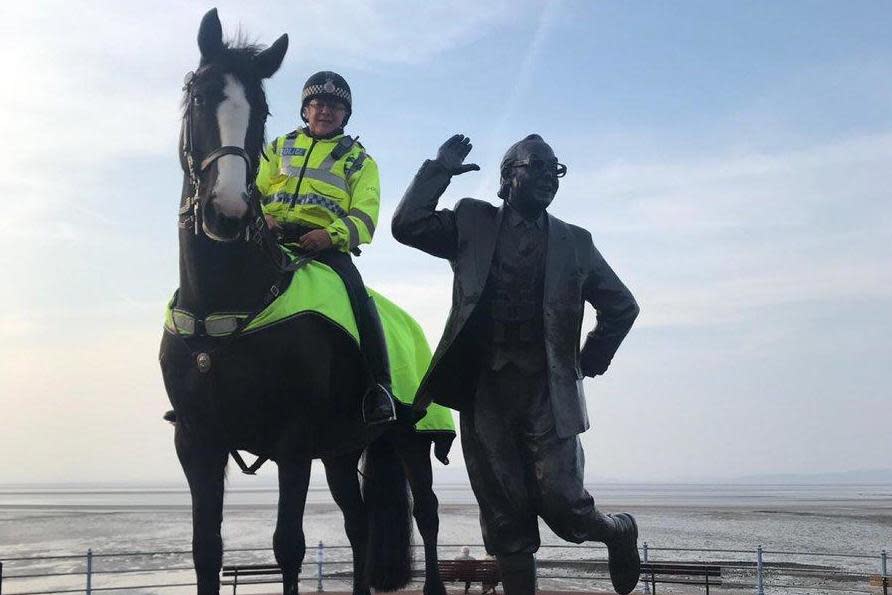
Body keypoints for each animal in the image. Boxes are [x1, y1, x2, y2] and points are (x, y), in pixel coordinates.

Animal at [160, 10, 450, 595]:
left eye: (261, 111)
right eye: (199, 96)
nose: (226, 212)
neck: (226, 303)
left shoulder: (292, 444)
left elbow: (288, 547)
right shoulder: (197, 442)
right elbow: (206, 551)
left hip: (411, 439)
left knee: (427, 514)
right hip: (342, 451)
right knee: (359, 524)